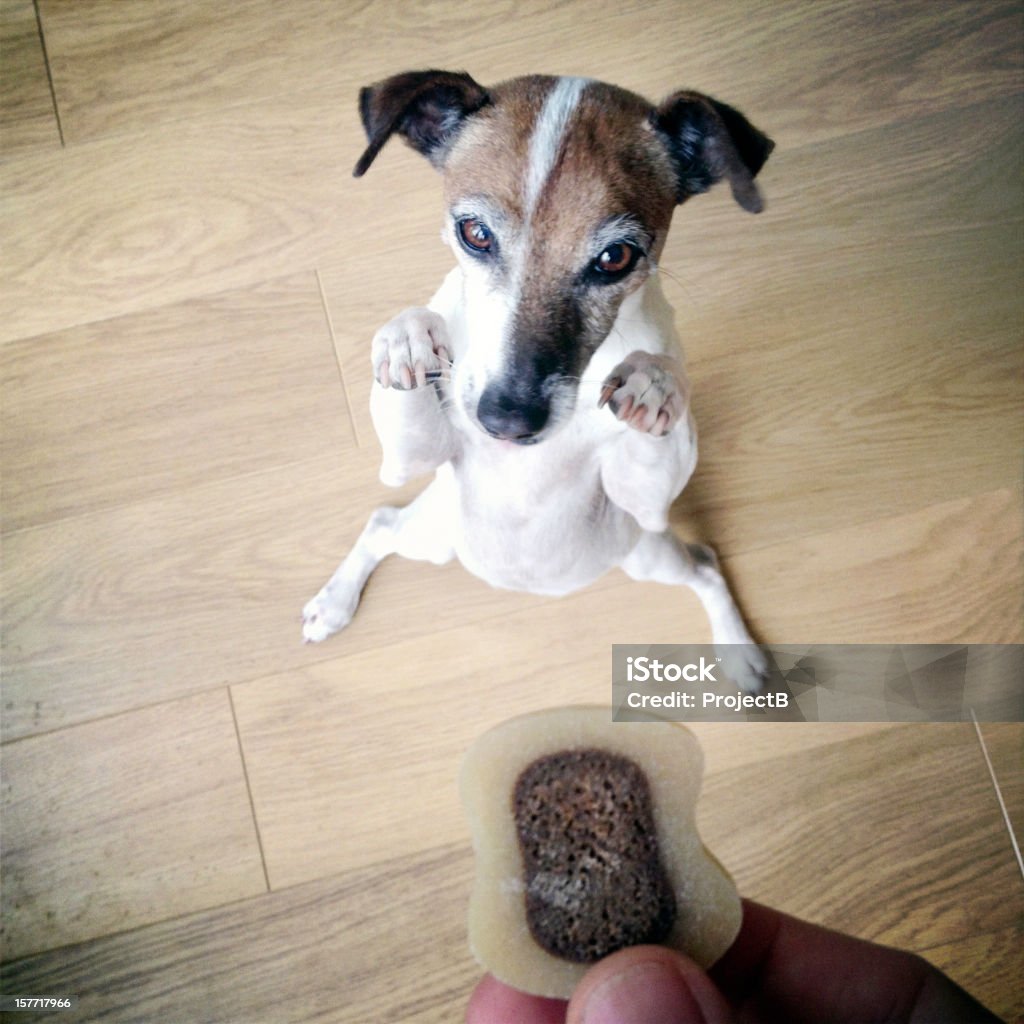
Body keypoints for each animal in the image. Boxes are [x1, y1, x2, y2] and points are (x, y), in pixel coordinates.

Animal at [299, 70, 770, 688]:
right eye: (474, 232)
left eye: (617, 257)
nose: (506, 422)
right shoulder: (410, 457)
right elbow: (408, 383)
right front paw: (406, 338)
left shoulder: (643, 501)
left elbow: (659, 418)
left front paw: (655, 384)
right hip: (434, 535)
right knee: (381, 522)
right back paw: (333, 604)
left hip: (646, 550)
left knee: (709, 568)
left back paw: (739, 652)